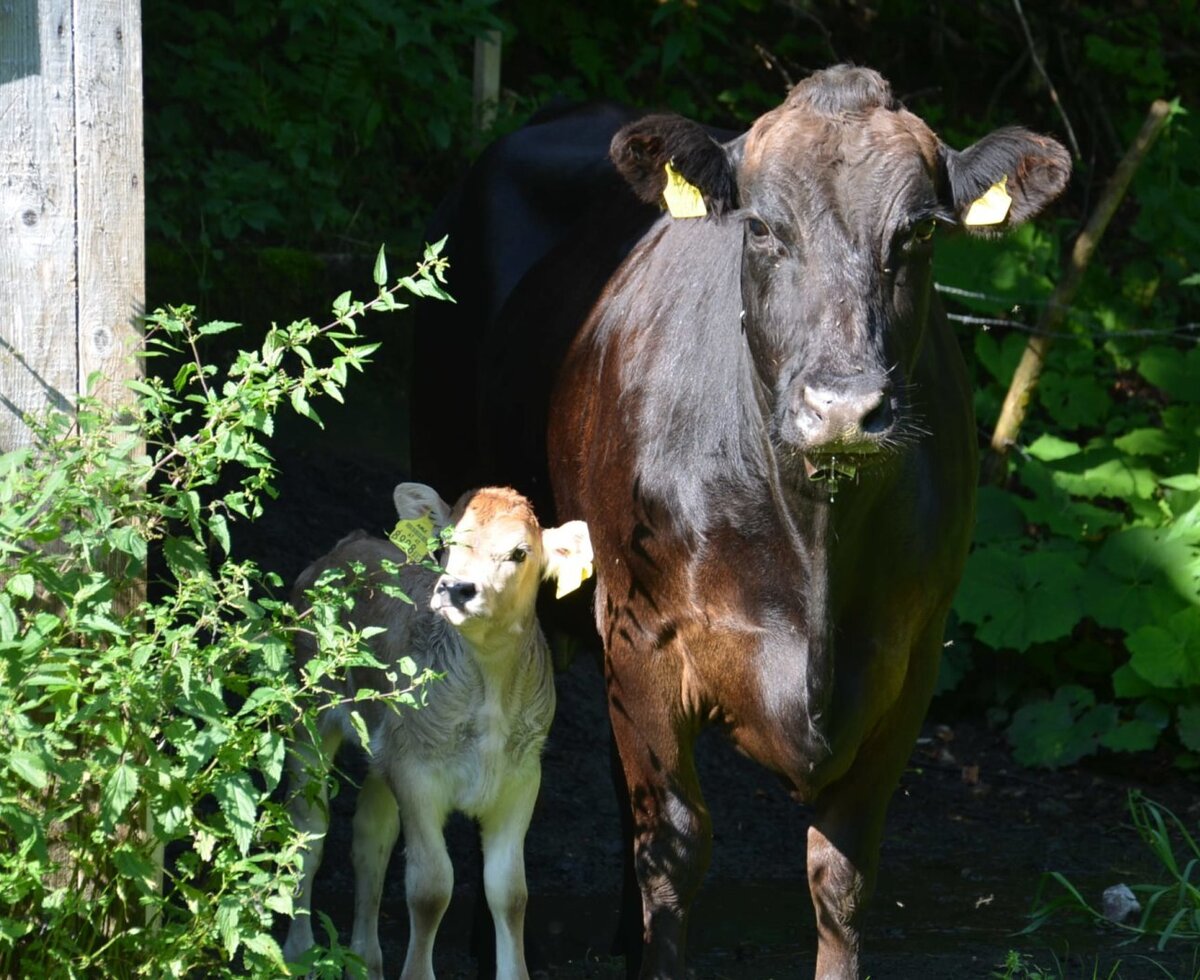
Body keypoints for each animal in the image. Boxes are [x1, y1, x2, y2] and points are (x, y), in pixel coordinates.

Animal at [281, 482, 591, 980]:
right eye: (448, 541)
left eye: (520, 552)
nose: (456, 588)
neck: (488, 685)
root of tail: (348, 545)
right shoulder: (418, 775)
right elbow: (430, 888)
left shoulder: (521, 779)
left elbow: (510, 893)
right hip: (310, 714)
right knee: (308, 832)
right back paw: (299, 952)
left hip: (386, 748)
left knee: (370, 840)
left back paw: (366, 962)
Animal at [414, 65, 1070, 979]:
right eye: (760, 227)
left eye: (917, 234)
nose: (842, 407)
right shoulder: (642, 630)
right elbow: (675, 845)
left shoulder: (910, 658)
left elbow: (841, 873)